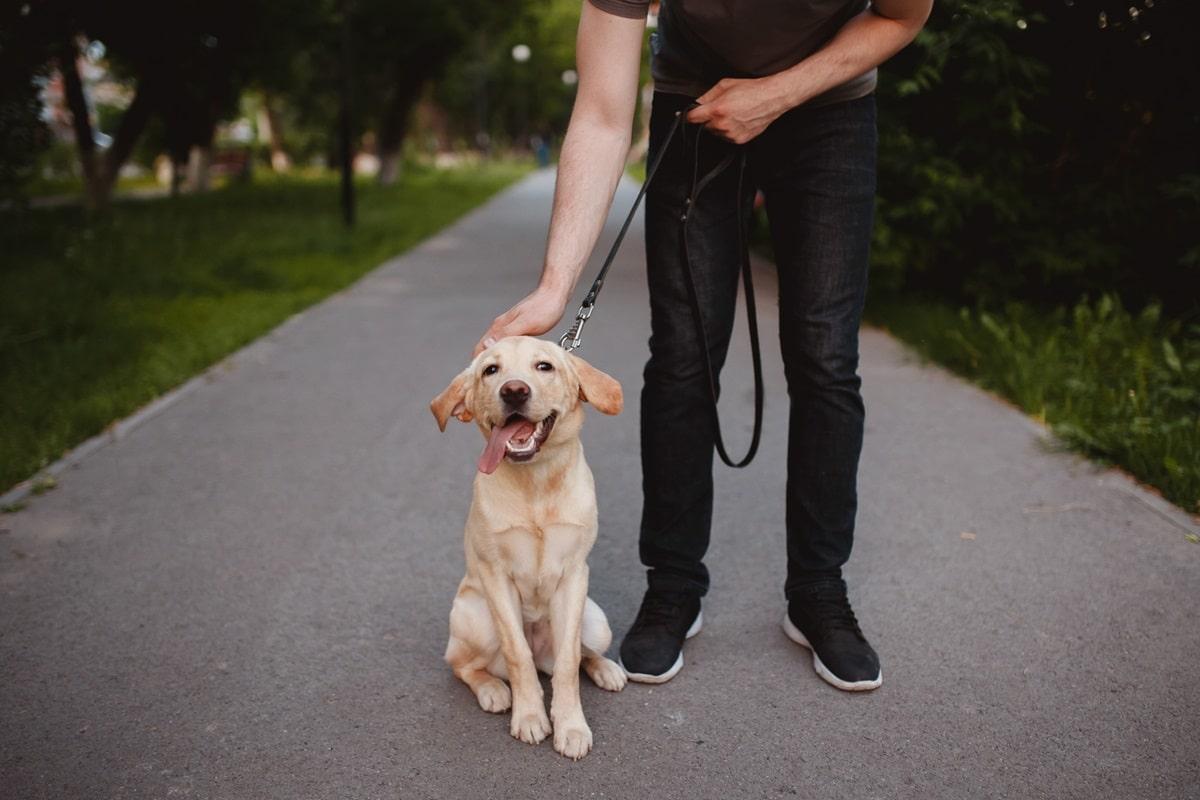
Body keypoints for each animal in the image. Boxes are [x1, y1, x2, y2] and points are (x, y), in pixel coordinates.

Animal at [436, 335, 633, 762]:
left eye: (544, 366)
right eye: (490, 370)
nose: (514, 390)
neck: (536, 482)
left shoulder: (575, 574)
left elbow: (568, 663)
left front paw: (571, 726)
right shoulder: (496, 577)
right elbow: (518, 655)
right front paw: (529, 717)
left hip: (597, 622)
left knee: (577, 654)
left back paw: (606, 668)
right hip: (475, 616)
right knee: (461, 663)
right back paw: (492, 689)